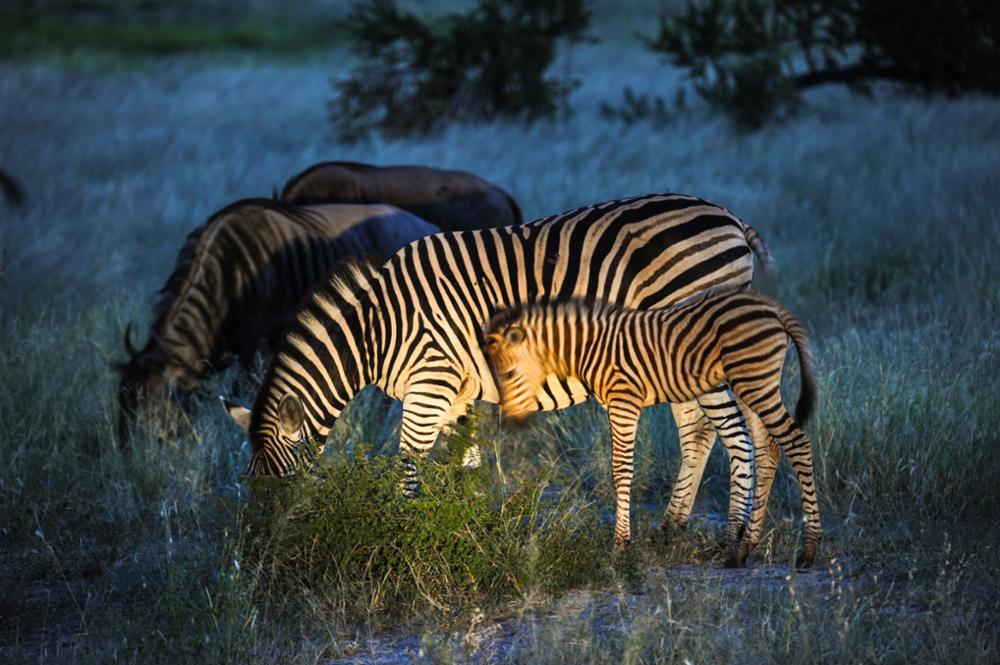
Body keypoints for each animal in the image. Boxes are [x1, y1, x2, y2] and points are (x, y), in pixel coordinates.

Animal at [115, 200, 436, 444]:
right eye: (123, 406)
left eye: (153, 411)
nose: (135, 457)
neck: (228, 276)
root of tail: (425, 226)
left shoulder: (256, 346)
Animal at [225, 191, 772, 540]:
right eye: (252, 489)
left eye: (279, 487)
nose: (262, 552)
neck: (375, 330)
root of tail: (727, 215)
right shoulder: (454, 393)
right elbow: (464, 467)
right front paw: (470, 530)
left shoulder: (430, 382)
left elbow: (408, 469)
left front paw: (401, 539)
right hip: (676, 353)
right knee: (698, 429)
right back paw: (671, 526)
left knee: (733, 431)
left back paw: (734, 535)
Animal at [482, 288, 820, 568]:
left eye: (509, 374)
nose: (511, 422)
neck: (589, 347)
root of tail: (772, 308)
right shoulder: (614, 404)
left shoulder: (624, 400)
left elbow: (621, 469)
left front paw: (620, 545)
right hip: (750, 385)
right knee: (768, 449)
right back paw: (743, 550)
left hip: (754, 382)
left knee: (796, 442)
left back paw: (808, 550)